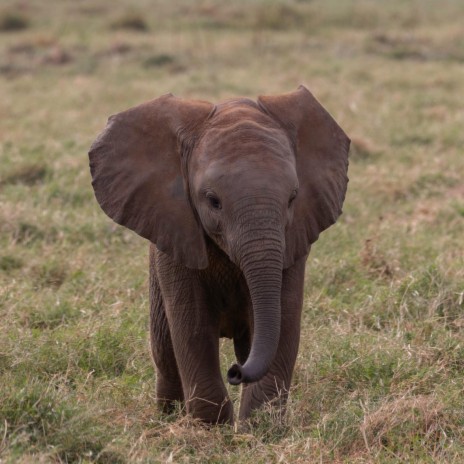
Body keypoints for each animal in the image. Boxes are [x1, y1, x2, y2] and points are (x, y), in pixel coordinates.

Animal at [89, 85, 350, 426]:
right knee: (165, 351)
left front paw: (260, 426)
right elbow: (192, 324)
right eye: (213, 201)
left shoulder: (294, 239)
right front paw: (212, 427)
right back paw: (167, 417)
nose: (235, 373)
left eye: (293, 198)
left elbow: (285, 318)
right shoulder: (175, 236)